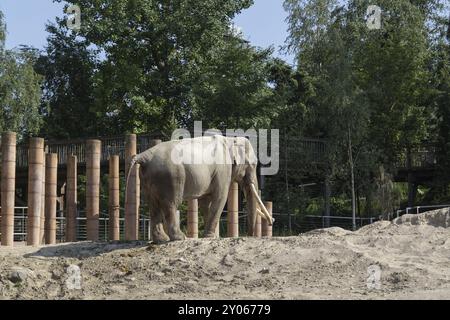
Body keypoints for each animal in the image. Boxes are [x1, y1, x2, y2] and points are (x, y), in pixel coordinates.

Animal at [125, 134, 274, 242]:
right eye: (253, 164)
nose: (249, 235)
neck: (231, 139)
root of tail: (144, 155)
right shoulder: (223, 170)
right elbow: (220, 198)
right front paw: (210, 237)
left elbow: (204, 202)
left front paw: (212, 236)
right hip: (171, 177)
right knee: (171, 204)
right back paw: (180, 238)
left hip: (148, 179)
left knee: (153, 205)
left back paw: (161, 240)